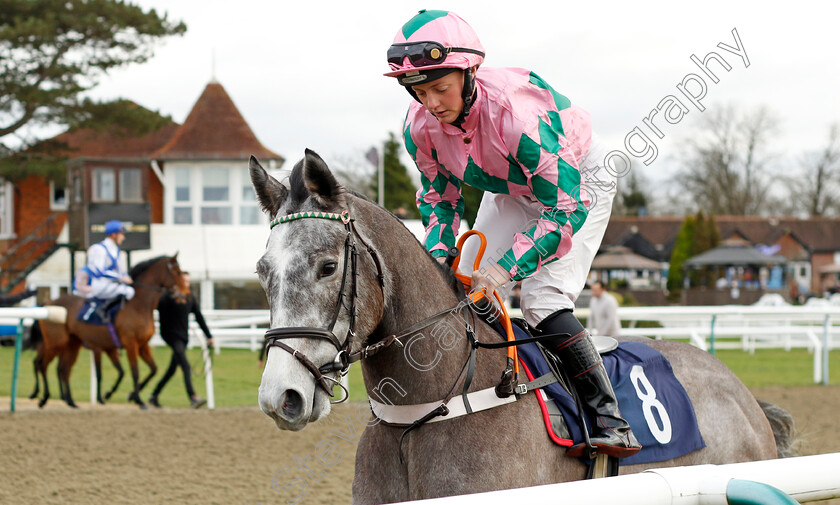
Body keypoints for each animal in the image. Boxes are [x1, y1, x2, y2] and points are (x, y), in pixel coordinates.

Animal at [34, 254, 184, 408]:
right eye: (178, 272)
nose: (183, 293)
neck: (138, 307)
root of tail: (48, 303)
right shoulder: (129, 344)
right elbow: (134, 372)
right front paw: (138, 400)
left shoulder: (141, 345)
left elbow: (153, 369)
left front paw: (127, 394)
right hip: (56, 343)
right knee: (42, 365)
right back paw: (44, 398)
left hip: (72, 344)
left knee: (64, 369)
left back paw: (70, 401)